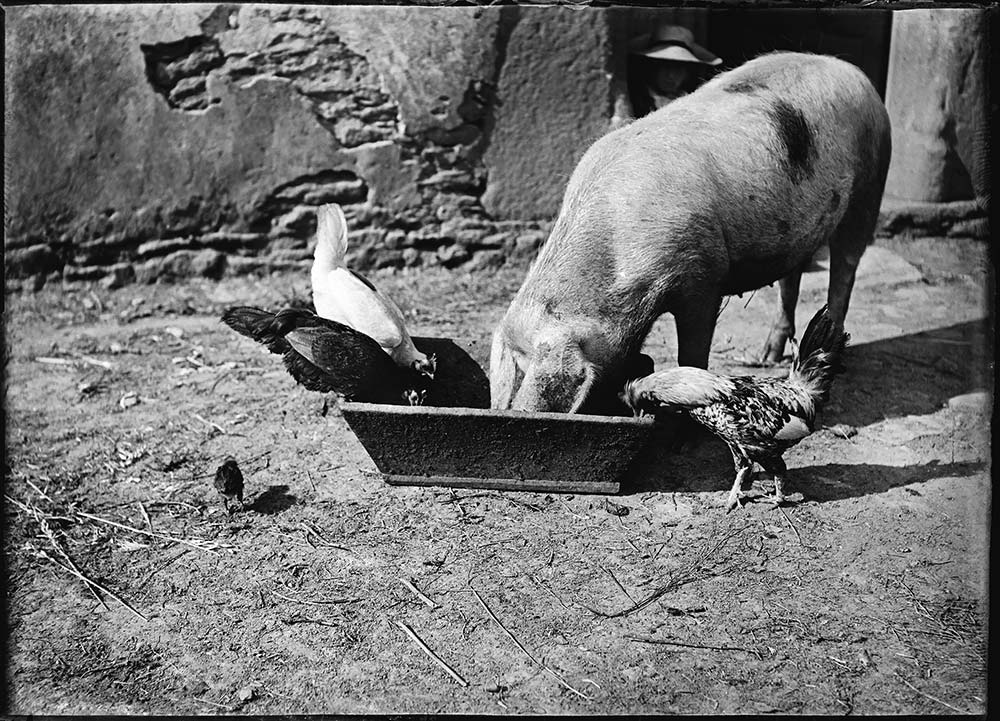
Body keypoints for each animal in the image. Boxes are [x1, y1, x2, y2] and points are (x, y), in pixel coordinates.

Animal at [492, 49, 892, 410]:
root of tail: (853, 71)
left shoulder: (702, 274)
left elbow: (694, 350)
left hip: (869, 188)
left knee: (845, 270)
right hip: (795, 228)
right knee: (790, 280)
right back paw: (766, 357)